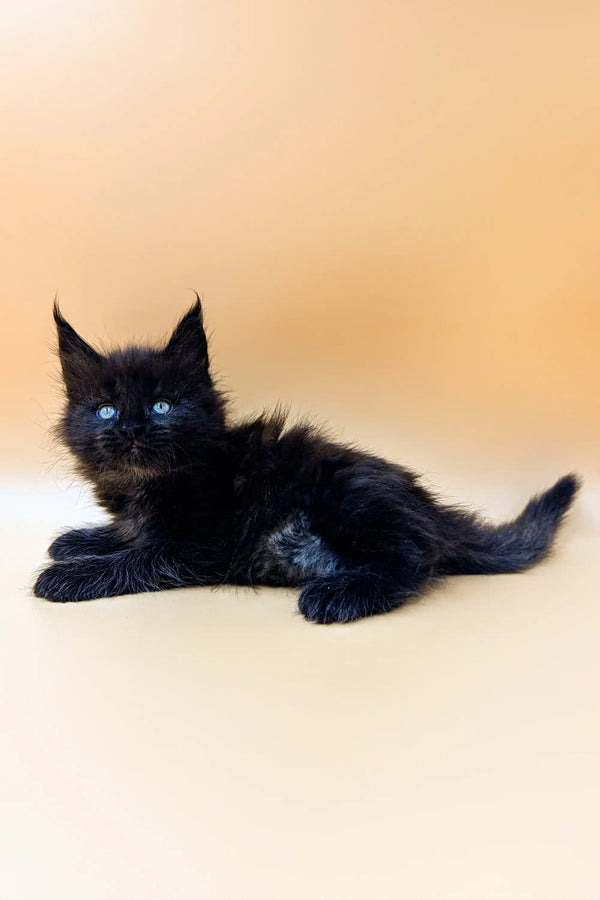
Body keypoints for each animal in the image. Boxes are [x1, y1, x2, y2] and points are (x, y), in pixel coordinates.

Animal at [34, 298, 580, 624]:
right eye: (105, 410)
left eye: (162, 406)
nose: (132, 429)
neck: (145, 485)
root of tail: (427, 509)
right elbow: (131, 535)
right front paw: (77, 541)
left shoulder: (201, 546)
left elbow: (141, 557)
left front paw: (69, 574)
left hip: (349, 495)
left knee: (417, 558)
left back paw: (340, 593)